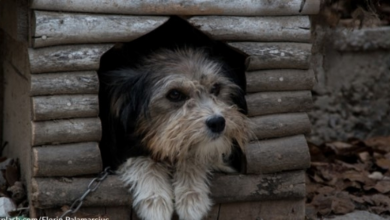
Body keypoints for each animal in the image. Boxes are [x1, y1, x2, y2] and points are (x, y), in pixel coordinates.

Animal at [97, 47, 250, 219]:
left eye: (215, 88)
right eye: (175, 94)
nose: (218, 122)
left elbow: (192, 156)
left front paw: (191, 196)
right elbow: (144, 161)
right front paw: (155, 199)